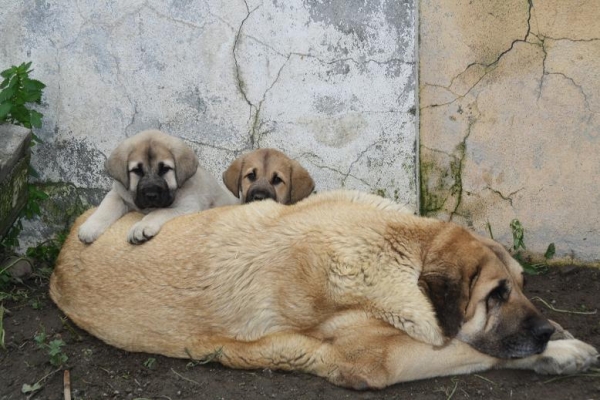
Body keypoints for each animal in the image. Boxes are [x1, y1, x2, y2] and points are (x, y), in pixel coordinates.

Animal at [50, 192, 596, 390]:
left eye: (520, 286)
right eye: (494, 295)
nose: (542, 331)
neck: (396, 249)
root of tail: (59, 259)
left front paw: (560, 336)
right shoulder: (376, 363)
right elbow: (476, 350)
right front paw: (561, 353)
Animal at [77, 130, 239, 245]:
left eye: (164, 169)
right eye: (137, 171)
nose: (151, 195)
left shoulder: (188, 206)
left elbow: (158, 212)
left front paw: (141, 227)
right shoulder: (118, 193)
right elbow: (106, 206)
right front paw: (90, 227)